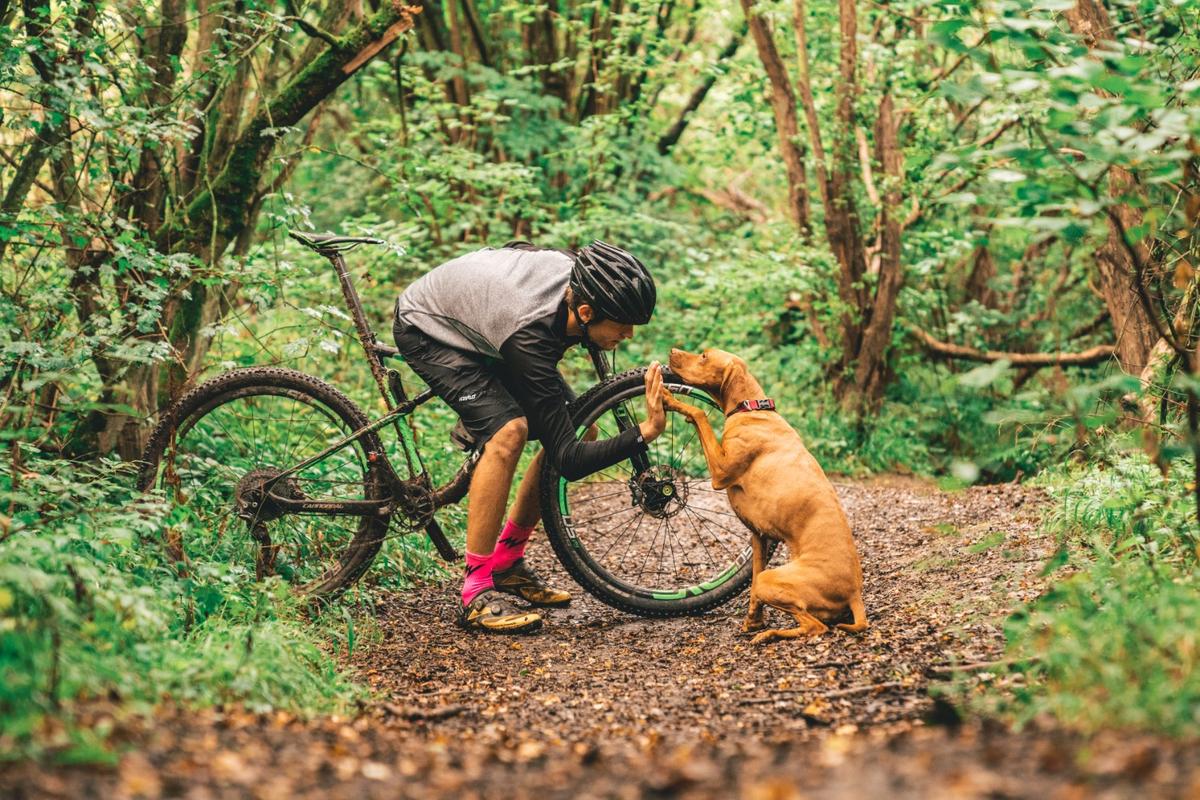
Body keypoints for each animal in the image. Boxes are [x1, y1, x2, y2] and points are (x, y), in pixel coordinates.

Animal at [662, 347, 868, 647]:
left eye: (704, 356)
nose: (672, 351)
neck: (752, 410)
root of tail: (855, 593)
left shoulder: (720, 472)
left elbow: (699, 413)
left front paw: (668, 398)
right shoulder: (759, 538)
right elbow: (752, 588)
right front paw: (753, 621)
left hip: (775, 580)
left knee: (816, 627)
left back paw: (769, 635)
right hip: (770, 580)